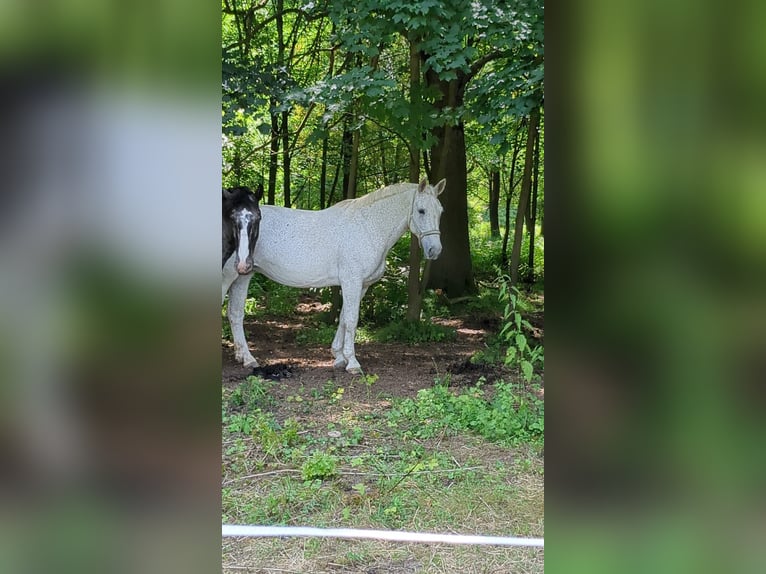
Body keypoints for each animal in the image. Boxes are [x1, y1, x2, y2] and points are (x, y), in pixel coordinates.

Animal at [222, 177, 446, 373]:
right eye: (421, 210)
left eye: (440, 211)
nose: (434, 250)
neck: (366, 227)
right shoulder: (352, 281)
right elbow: (352, 319)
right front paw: (352, 363)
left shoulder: (360, 285)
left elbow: (344, 317)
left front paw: (339, 357)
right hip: (229, 275)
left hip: (243, 275)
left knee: (235, 314)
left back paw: (246, 358)